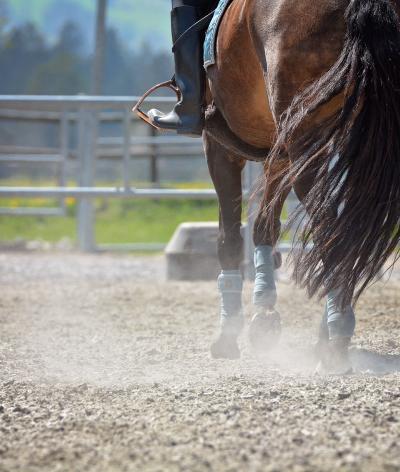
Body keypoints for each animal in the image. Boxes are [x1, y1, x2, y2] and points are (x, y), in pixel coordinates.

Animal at [202, 0, 400, 370]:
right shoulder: (278, 151)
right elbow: (264, 226)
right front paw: (264, 313)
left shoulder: (219, 147)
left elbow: (229, 238)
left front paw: (228, 333)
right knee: (341, 231)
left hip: (305, 141)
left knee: (330, 229)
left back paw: (335, 339)